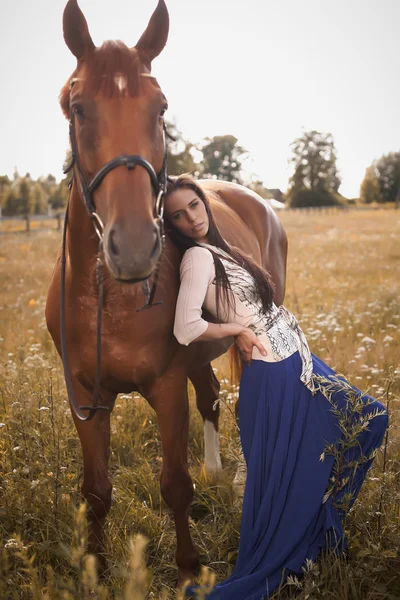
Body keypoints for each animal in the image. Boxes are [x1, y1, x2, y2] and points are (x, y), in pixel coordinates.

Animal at [45, 0, 286, 584]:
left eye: (161, 108)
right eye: (77, 107)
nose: (133, 247)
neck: (111, 301)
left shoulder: (167, 386)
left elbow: (176, 484)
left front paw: (189, 569)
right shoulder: (85, 396)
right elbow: (96, 490)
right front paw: (95, 569)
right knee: (214, 396)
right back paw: (219, 470)